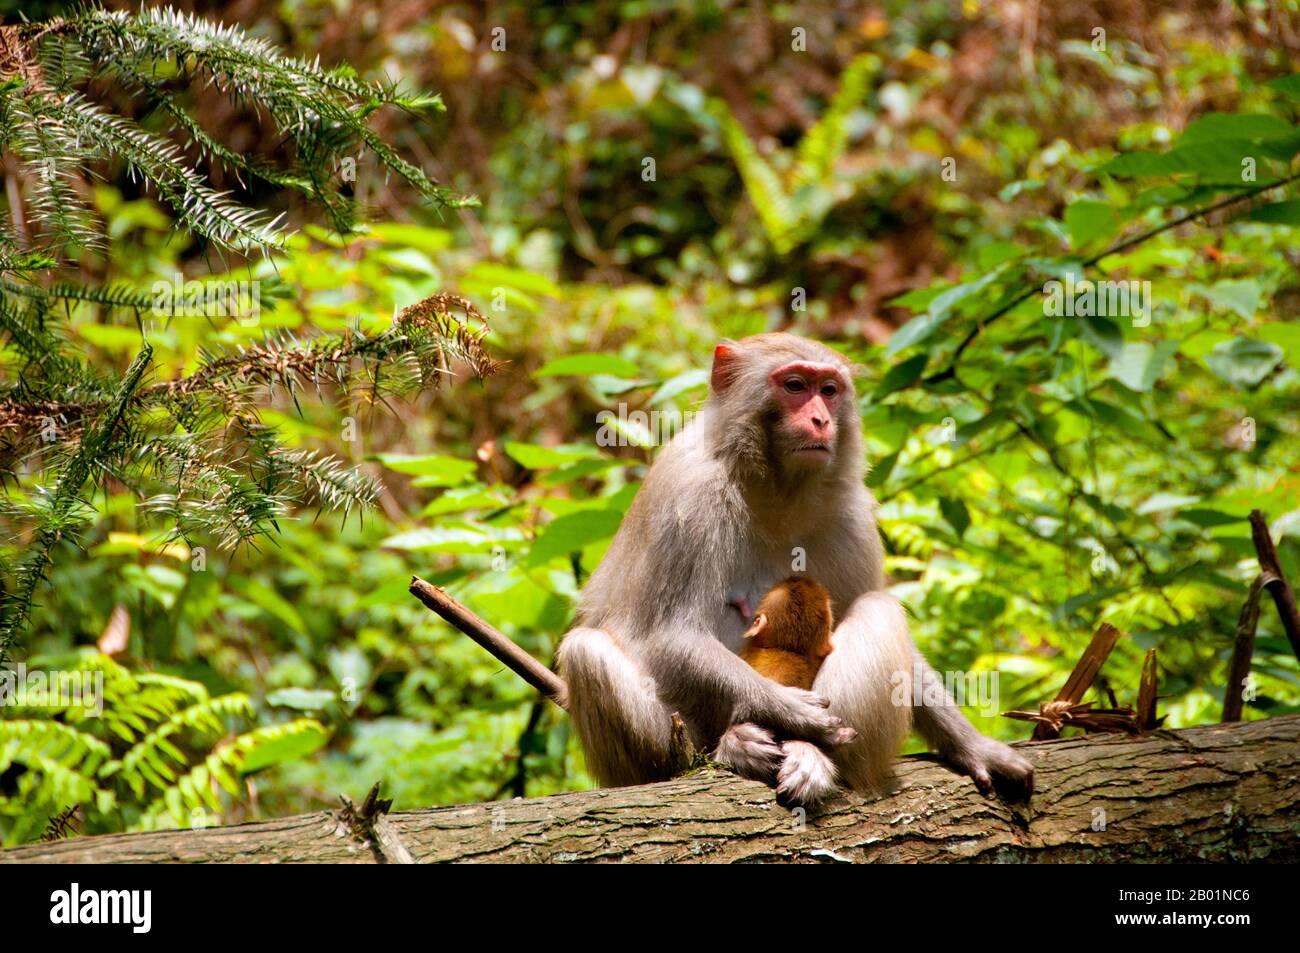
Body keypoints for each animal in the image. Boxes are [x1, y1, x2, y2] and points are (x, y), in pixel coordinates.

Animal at [559, 335, 1034, 800]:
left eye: (829, 390)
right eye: (794, 386)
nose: (821, 420)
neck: (775, 486)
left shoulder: (852, 515)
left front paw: (973, 745)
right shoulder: (690, 493)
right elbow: (674, 634)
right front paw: (790, 710)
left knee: (875, 608)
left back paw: (812, 756)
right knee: (587, 652)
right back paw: (733, 747)